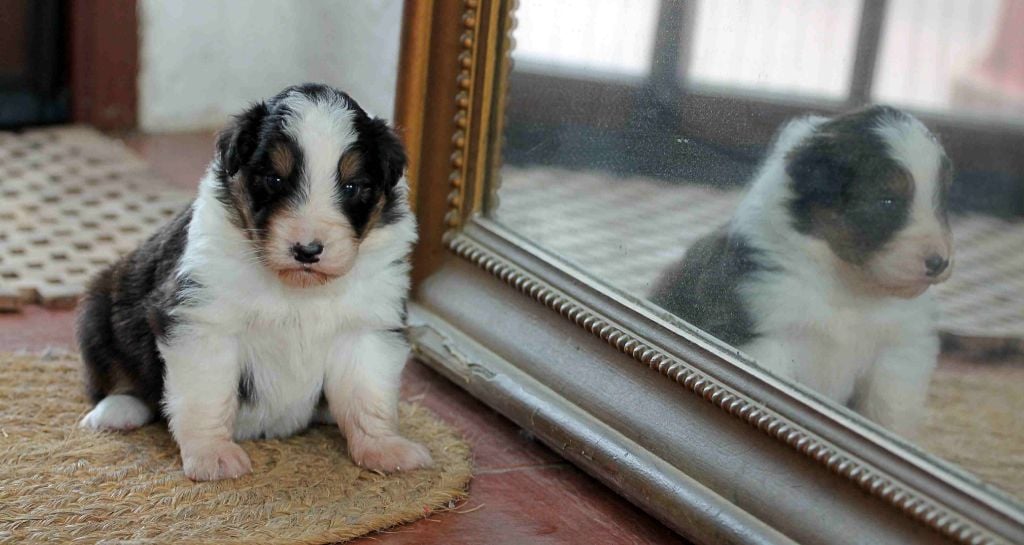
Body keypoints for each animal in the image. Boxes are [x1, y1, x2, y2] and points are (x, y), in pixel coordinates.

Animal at [76, 82, 432, 479]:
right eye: (274, 179)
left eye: (353, 187)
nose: (307, 250)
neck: (298, 290)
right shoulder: (201, 322)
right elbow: (206, 396)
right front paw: (213, 455)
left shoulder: (366, 327)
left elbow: (368, 395)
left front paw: (384, 449)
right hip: (100, 309)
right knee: (115, 378)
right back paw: (116, 412)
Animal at [651, 106, 954, 436]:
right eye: (887, 201)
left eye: (939, 202)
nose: (939, 262)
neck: (847, 287)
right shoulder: (766, 340)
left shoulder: (899, 351)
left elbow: (889, 414)